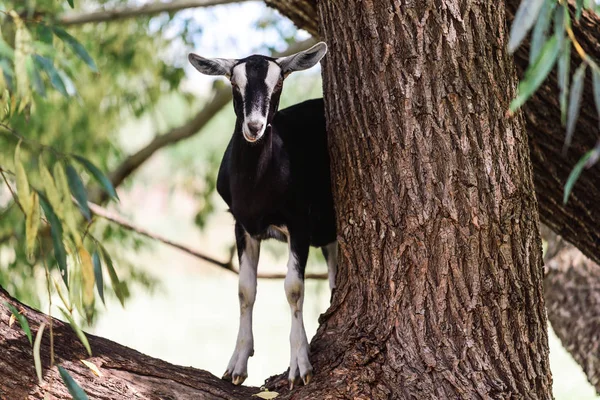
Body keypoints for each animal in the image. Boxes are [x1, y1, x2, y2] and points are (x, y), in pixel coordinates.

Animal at [189, 43, 338, 388]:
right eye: (233, 82)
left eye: (279, 82)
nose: (254, 126)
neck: (257, 190)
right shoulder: (242, 225)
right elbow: (246, 289)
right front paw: (236, 365)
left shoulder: (299, 224)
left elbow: (294, 288)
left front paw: (300, 364)